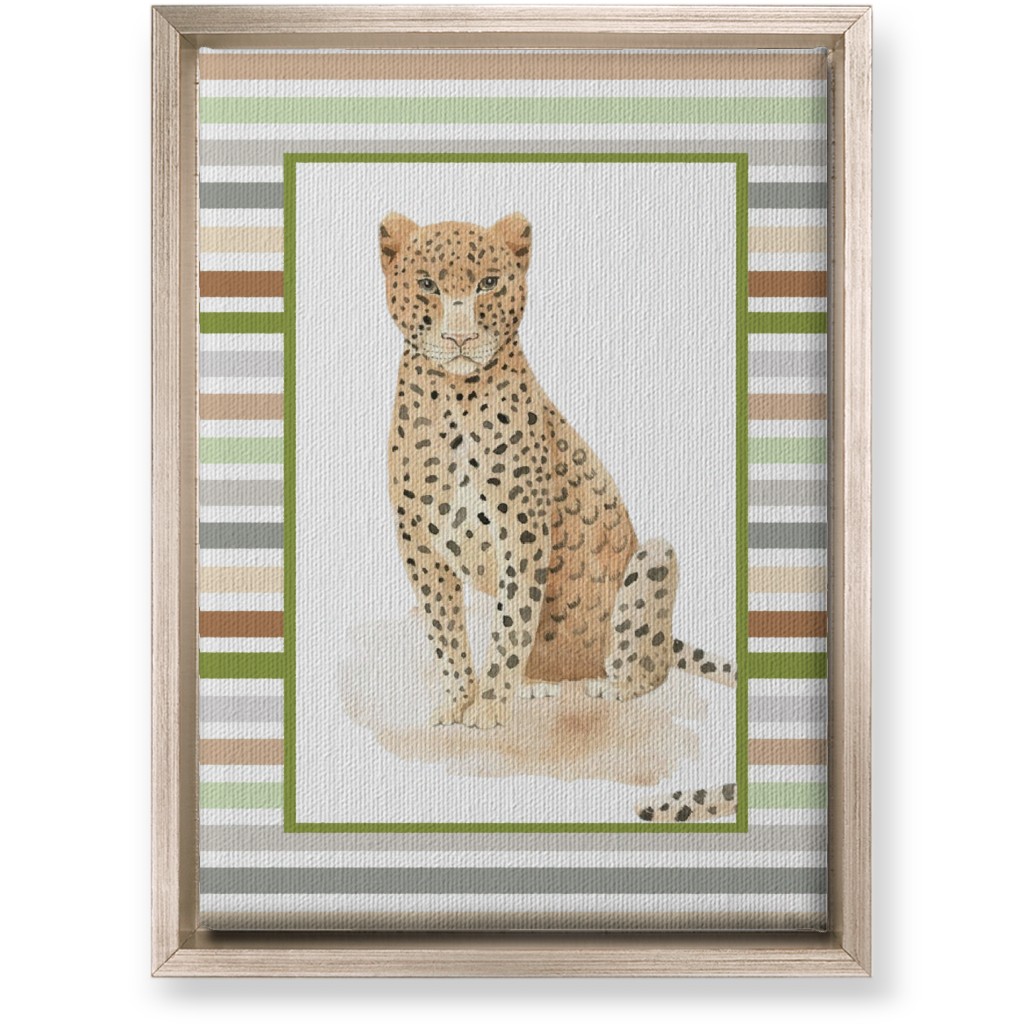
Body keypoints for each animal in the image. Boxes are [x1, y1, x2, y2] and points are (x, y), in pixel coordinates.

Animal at [380, 211, 738, 822]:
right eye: (427, 284)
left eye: (489, 284)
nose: (459, 337)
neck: (453, 396)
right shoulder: (420, 545)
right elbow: (446, 631)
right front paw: (457, 701)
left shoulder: (522, 534)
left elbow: (511, 623)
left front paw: (488, 705)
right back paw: (535, 683)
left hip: (655, 554)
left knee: (647, 665)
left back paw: (607, 686)